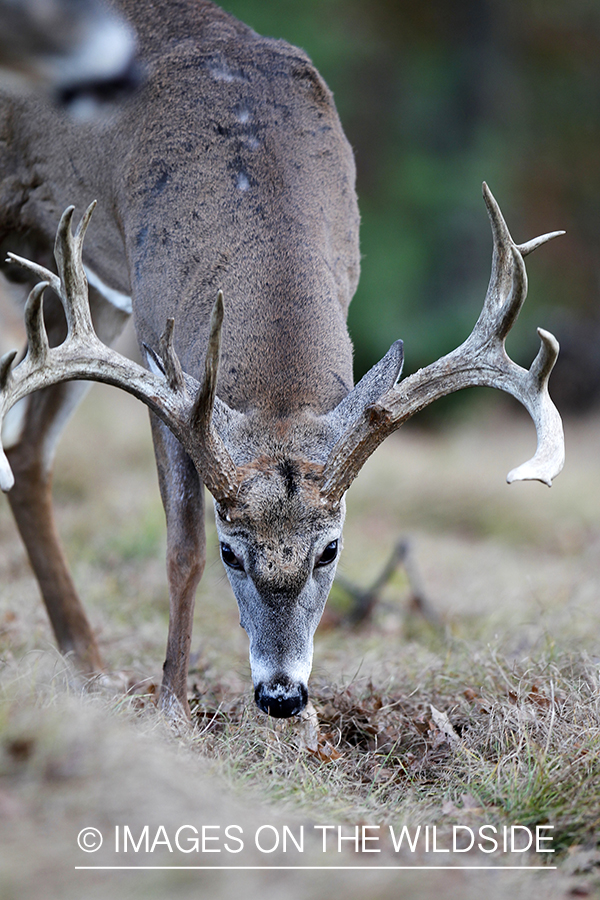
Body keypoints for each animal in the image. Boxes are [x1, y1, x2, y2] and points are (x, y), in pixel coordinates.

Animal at [0, 0, 564, 716]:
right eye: (231, 552)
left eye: (330, 550)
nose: (281, 694)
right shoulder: (161, 354)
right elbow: (179, 548)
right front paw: (171, 706)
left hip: (91, 290)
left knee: (26, 453)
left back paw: (89, 664)